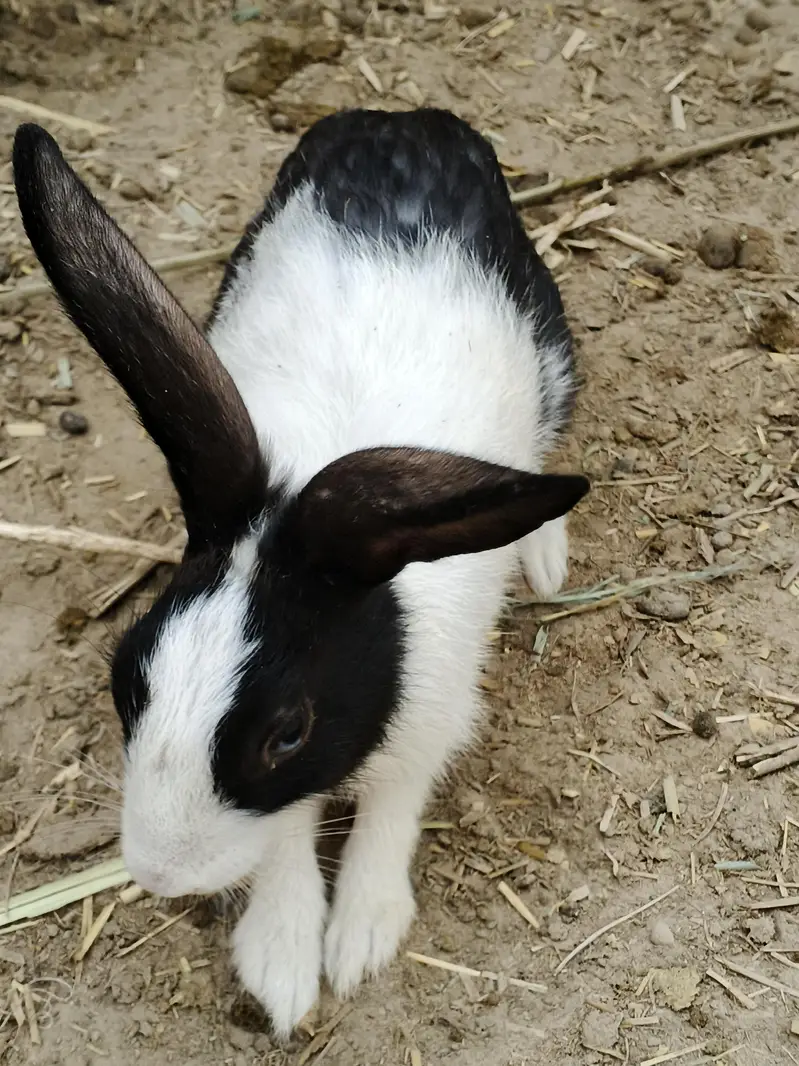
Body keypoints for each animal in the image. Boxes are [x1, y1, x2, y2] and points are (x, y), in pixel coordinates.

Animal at [13, 108, 589, 1038]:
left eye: (287, 732)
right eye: (126, 681)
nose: (161, 875)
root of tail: (402, 124)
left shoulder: (427, 729)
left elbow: (389, 814)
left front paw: (359, 938)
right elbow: (286, 841)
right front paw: (281, 963)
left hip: (550, 349)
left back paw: (541, 555)